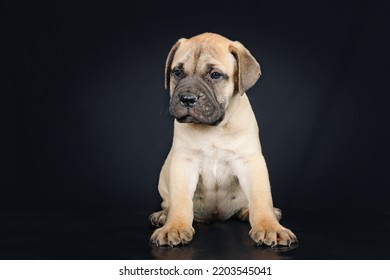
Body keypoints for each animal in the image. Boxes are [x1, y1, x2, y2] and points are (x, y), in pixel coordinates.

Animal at [151, 33, 298, 247]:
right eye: (177, 72)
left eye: (215, 75)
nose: (187, 99)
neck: (214, 128)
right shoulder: (183, 163)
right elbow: (180, 200)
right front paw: (175, 227)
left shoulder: (250, 162)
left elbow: (261, 198)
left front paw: (269, 227)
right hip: (164, 177)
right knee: (169, 202)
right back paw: (163, 215)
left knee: (248, 204)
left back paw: (252, 212)